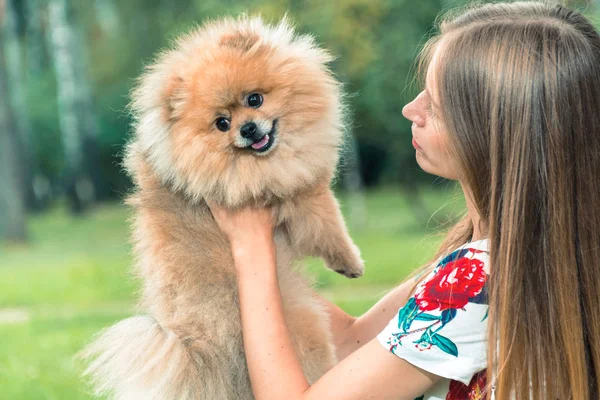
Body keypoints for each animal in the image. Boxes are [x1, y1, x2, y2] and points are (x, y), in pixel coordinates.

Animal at [81, 15, 364, 400]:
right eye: (221, 123)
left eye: (255, 98)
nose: (248, 129)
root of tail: (205, 350)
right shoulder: (297, 198)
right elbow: (329, 222)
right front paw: (350, 261)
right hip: (303, 319)